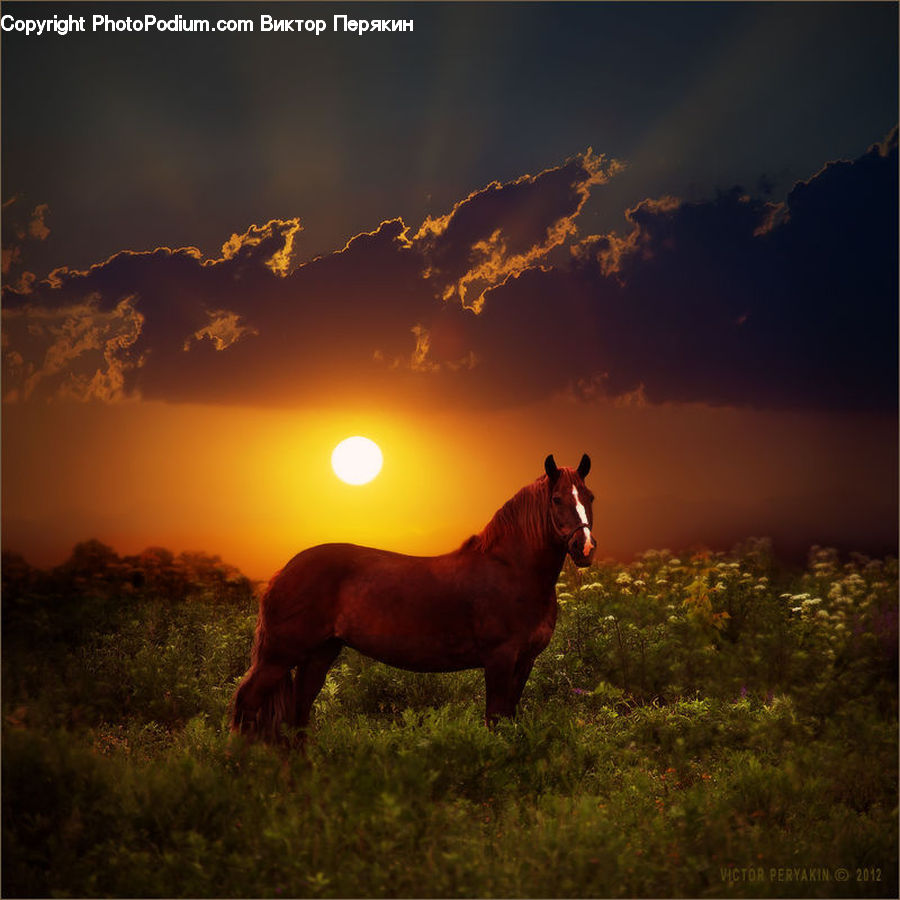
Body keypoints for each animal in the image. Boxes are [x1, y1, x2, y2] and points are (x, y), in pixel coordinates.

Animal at [230, 453, 596, 743]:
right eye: (557, 499)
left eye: (589, 496)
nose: (586, 548)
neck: (511, 570)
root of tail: (282, 572)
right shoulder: (499, 659)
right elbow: (495, 719)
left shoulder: (525, 660)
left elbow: (509, 718)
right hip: (279, 655)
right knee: (247, 702)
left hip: (320, 653)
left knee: (298, 712)